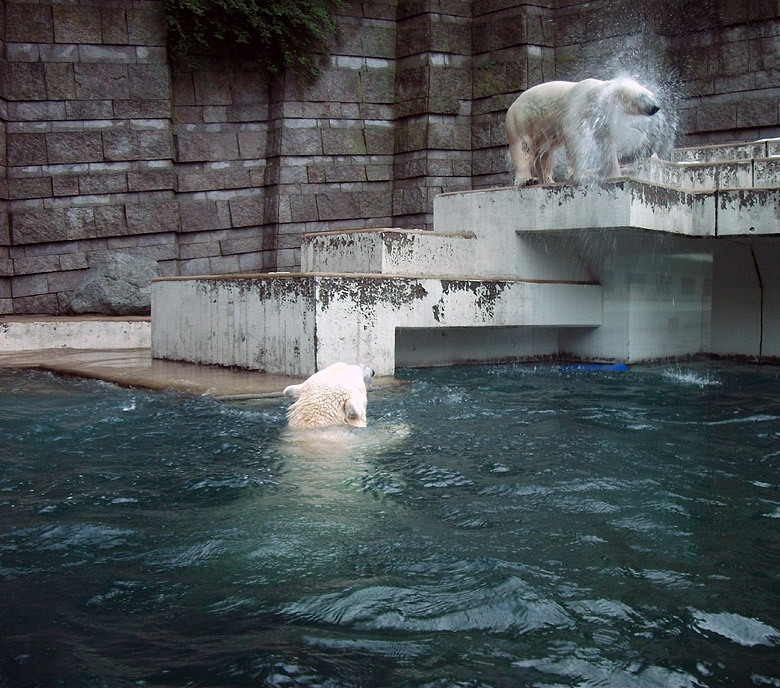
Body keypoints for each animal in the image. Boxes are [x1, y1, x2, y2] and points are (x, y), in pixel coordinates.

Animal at [506, 77, 660, 185]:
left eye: (652, 94)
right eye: (642, 95)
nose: (656, 107)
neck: (597, 95)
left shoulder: (601, 119)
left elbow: (606, 145)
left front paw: (615, 174)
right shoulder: (578, 105)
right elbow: (574, 137)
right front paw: (581, 175)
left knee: (546, 155)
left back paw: (548, 179)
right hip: (522, 119)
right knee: (523, 148)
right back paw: (527, 180)